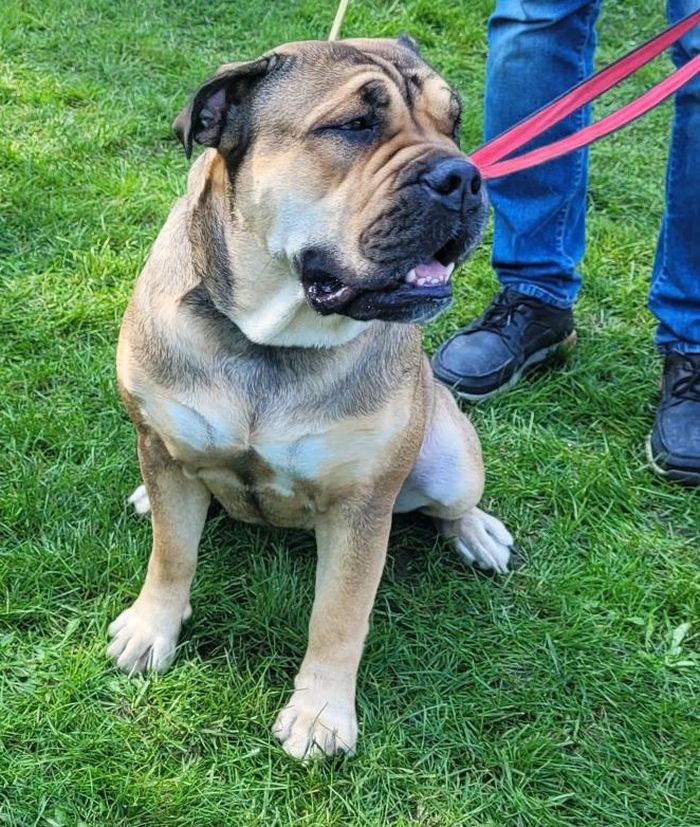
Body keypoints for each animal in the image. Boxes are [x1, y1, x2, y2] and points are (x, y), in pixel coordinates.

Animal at [109, 37, 513, 760]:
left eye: (456, 124)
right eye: (353, 125)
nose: (463, 176)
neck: (268, 339)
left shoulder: (361, 506)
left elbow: (340, 614)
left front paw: (321, 712)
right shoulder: (159, 439)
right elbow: (172, 554)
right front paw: (151, 628)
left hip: (450, 458)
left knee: (453, 503)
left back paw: (478, 532)